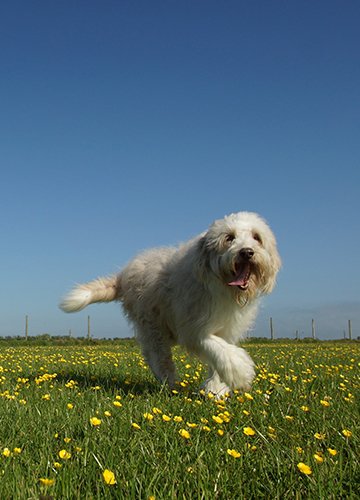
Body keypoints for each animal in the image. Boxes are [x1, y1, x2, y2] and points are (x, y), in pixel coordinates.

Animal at [59, 213, 282, 396]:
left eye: (256, 237)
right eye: (229, 238)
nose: (247, 252)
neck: (221, 286)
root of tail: (123, 276)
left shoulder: (226, 329)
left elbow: (221, 356)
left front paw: (216, 390)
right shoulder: (193, 328)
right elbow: (219, 350)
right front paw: (241, 374)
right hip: (152, 325)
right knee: (158, 357)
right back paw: (172, 385)